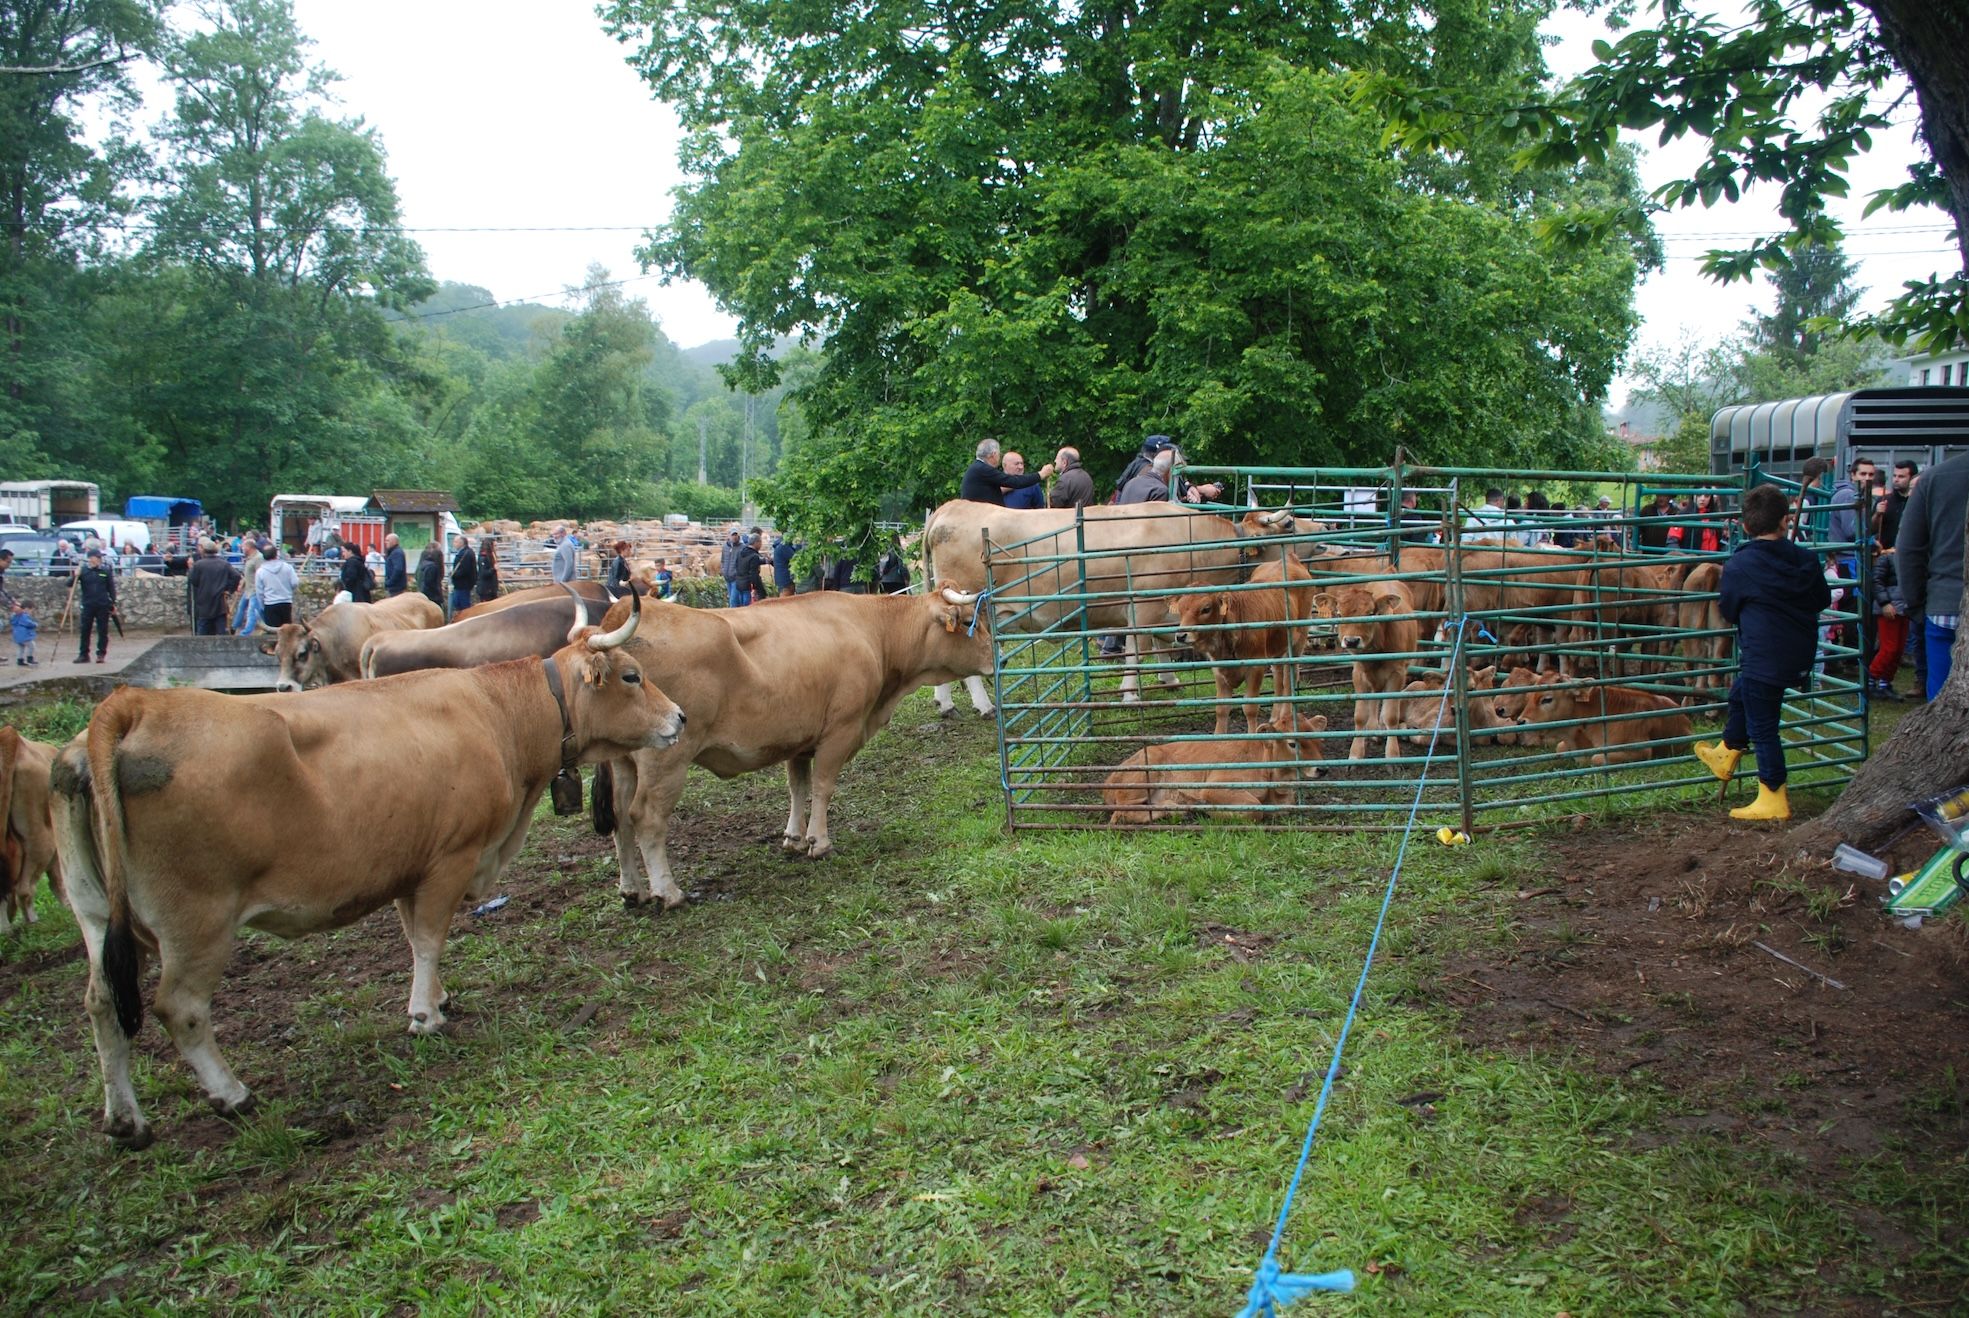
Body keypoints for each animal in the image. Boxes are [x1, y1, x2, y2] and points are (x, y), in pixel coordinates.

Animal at [1102, 709, 1331, 823]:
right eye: (1293, 743)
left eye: (1320, 740)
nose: (1322, 769)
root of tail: (1108, 781)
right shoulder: (1215, 787)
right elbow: (1254, 810)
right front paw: (1211, 811)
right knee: (1121, 813)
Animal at [1173, 543, 1315, 728]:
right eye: (1181, 609)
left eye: (1206, 609)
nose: (1181, 636)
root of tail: (1290, 559)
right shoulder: (1218, 671)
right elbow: (1221, 709)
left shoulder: (1255, 667)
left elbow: (1250, 707)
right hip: (1277, 644)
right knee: (1278, 674)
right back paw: (1275, 717)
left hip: (1298, 640)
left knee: (1290, 676)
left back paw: (1285, 715)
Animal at [1307, 579, 1417, 756]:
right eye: (1339, 614)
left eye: (1371, 613)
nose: (1351, 641)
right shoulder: (1358, 673)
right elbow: (1360, 716)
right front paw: (1355, 754)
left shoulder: (1397, 674)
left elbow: (1391, 715)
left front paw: (1392, 754)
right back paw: (1373, 729)